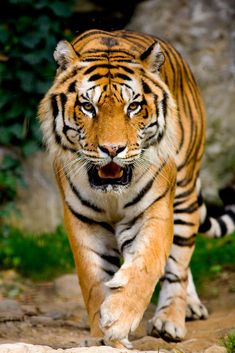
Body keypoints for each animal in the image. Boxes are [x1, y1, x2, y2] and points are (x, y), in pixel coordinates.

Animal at [37, 28, 234, 346]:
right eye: (88, 106)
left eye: (134, 106)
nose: (112, 149)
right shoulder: (83, 222)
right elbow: (93, 281)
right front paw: (102, 334)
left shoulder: (155, 211)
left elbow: (148, 264)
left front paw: (119, 317)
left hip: (184, 193)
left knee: (179, 263)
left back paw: (172, 319)